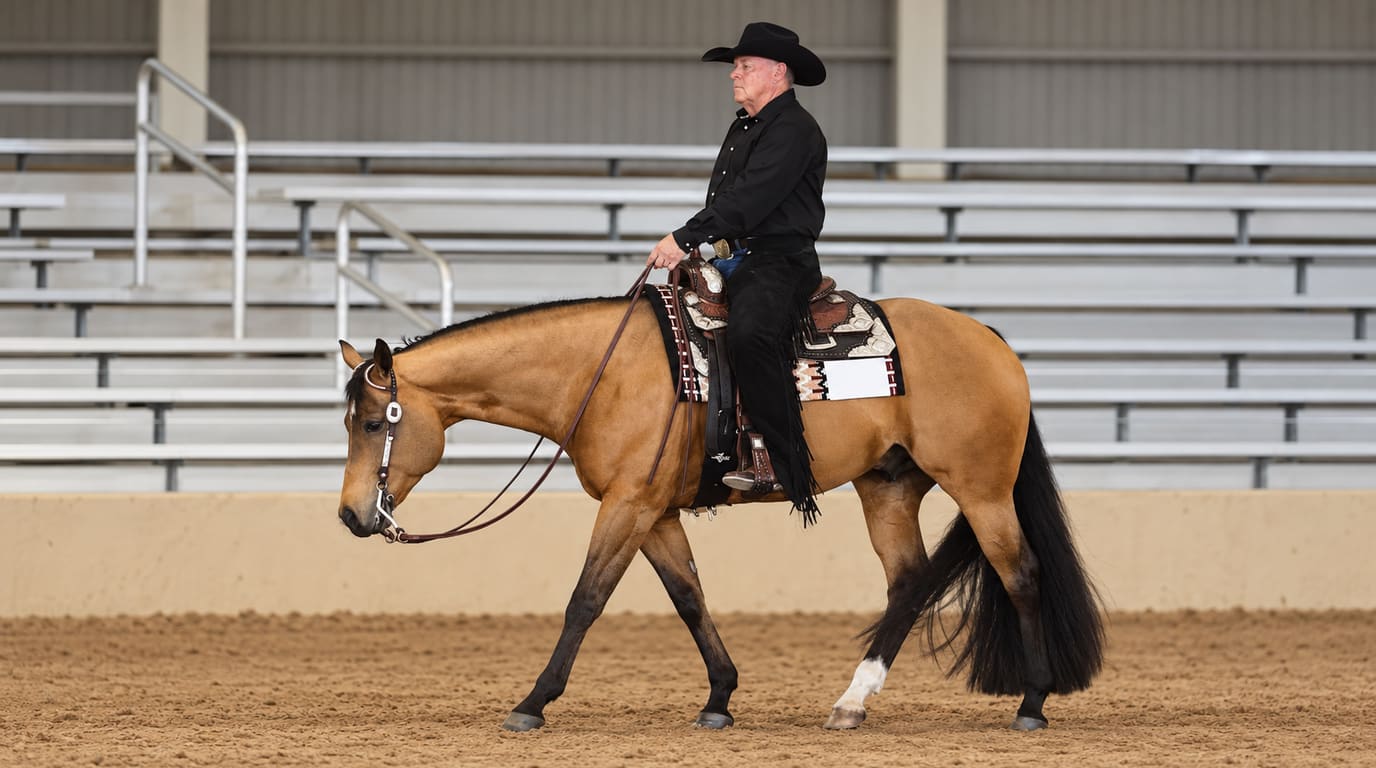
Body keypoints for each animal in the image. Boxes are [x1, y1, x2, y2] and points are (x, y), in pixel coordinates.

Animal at [336, 290, 1105, 733]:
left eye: (373, 423)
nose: (350, 517)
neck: (601, 373)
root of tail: (991, 339)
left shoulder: (628, 505)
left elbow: (586, 600)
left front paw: (532, 703)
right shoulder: (653, 511)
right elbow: (689, 597)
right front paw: (720, 698)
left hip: (981, 488)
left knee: (1021, 573)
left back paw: (1032, 704)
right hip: (889, 487)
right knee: (910, 581)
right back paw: (852, 702)